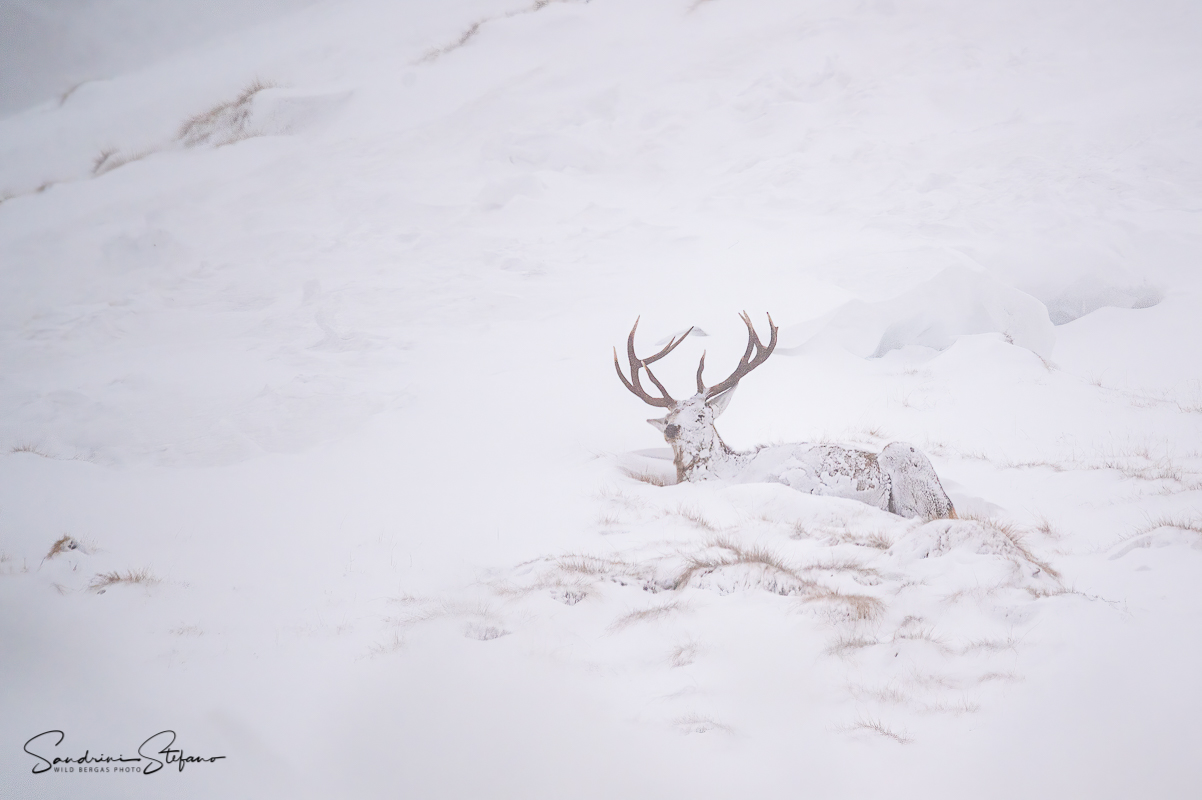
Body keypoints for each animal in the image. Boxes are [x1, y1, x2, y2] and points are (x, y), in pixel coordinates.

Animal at [614, 312, 956, 520]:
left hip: (908, 469)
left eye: (700, 415)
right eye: (670, 415)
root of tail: (948, 502)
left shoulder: (794, 478)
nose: (671, 429)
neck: (724, 474)